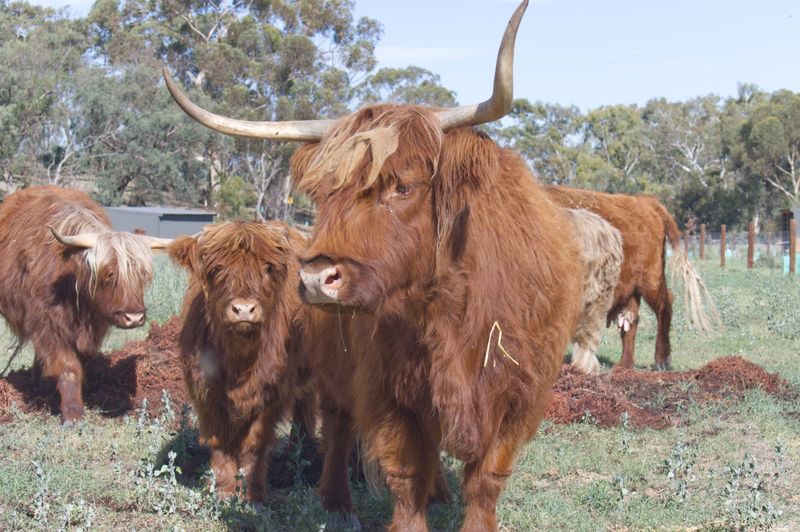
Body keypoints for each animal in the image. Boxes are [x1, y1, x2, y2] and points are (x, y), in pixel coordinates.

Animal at [0, 185, 169, 424]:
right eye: (108, 273)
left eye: (142, 274)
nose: (134, 317)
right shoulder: (48, 325)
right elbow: (68, 367)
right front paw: (72, 412)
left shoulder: (95, 327)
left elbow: (82, 362)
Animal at [167, 221, 316, 502]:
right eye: (217, 269)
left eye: (268, 268)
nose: (244, 309)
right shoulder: (206, 391)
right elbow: (221, 442)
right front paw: (222, 489)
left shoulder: (271, 393)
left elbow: (254, 443)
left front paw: (250, 493)